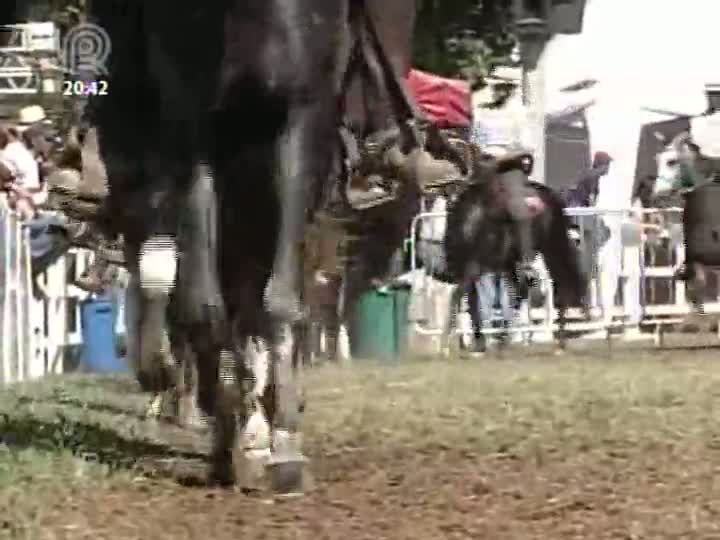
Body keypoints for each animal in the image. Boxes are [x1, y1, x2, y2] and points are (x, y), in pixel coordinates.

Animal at [442, 153, 588, 354]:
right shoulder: (466, 273)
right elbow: (471, 304)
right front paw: (478, 344)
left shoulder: (472, 269)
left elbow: (457, 297)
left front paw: (447, 344)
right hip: (512, 262)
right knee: (520, 293)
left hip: (551, 248)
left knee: (559, 284)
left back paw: (557, 341)